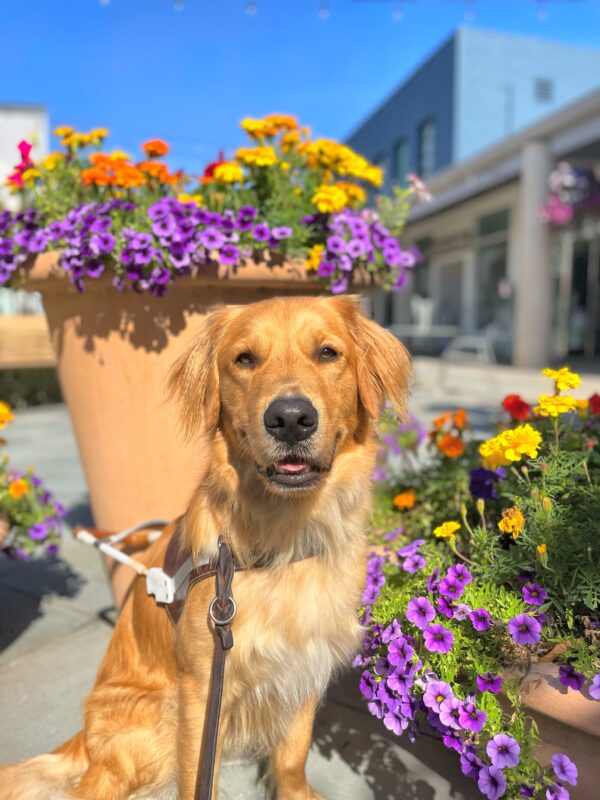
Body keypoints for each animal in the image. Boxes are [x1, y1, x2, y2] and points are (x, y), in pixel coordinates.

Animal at [0, 294, 410, 800]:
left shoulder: (303, 665)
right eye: (245, 359)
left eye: (328, 353)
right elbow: (200, 774)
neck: (285, 536)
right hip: (154, 720)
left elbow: (293, 755)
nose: (290, 419)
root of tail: (84, 734)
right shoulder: (200, 686)